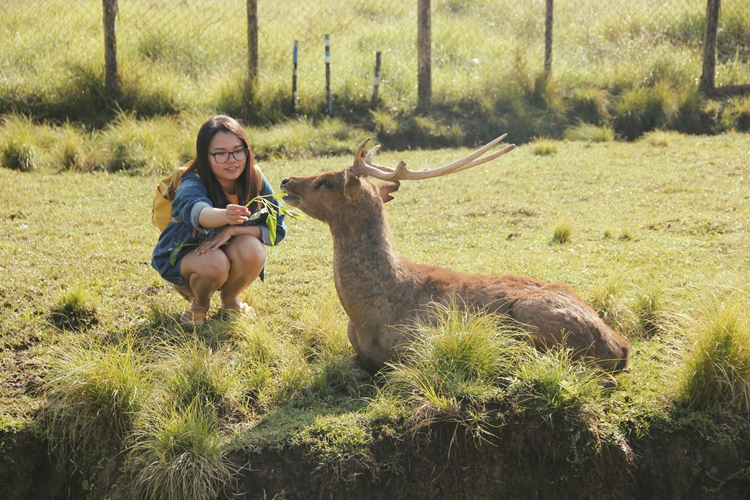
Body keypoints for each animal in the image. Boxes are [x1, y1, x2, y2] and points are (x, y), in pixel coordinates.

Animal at [279, 135, 630, 376]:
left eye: (326, 181)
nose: (286, 180)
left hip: (535, 314)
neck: (366, 315)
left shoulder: (420, 343)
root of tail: (620, 346)